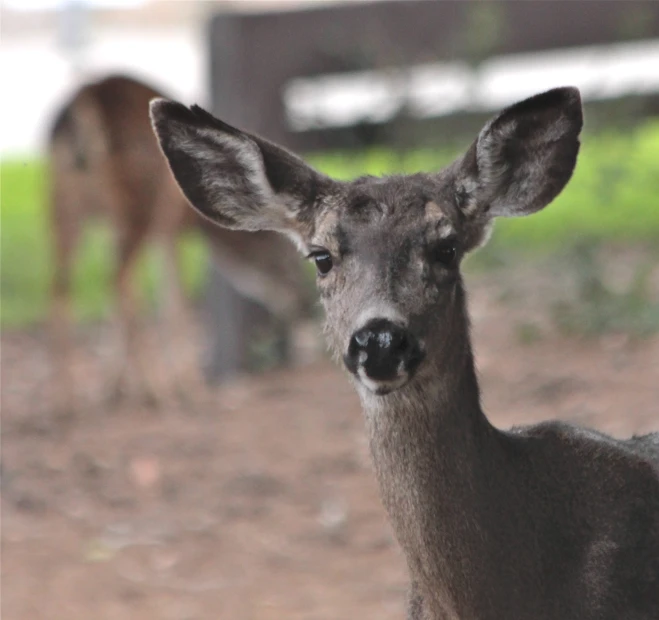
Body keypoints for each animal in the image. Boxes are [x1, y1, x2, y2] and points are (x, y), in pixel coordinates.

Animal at [49, 75, 312, 418]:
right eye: (285, 263)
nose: (304, 306)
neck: (193, 221)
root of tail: (83, 107)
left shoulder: (143, 230)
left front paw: (110, 387)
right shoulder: (167, 224)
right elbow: (173, 299)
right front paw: (186, 385)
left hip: (63, 205)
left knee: (61, 286)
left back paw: (66, 401)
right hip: (136, 204)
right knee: (117, 282)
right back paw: (157, 390)